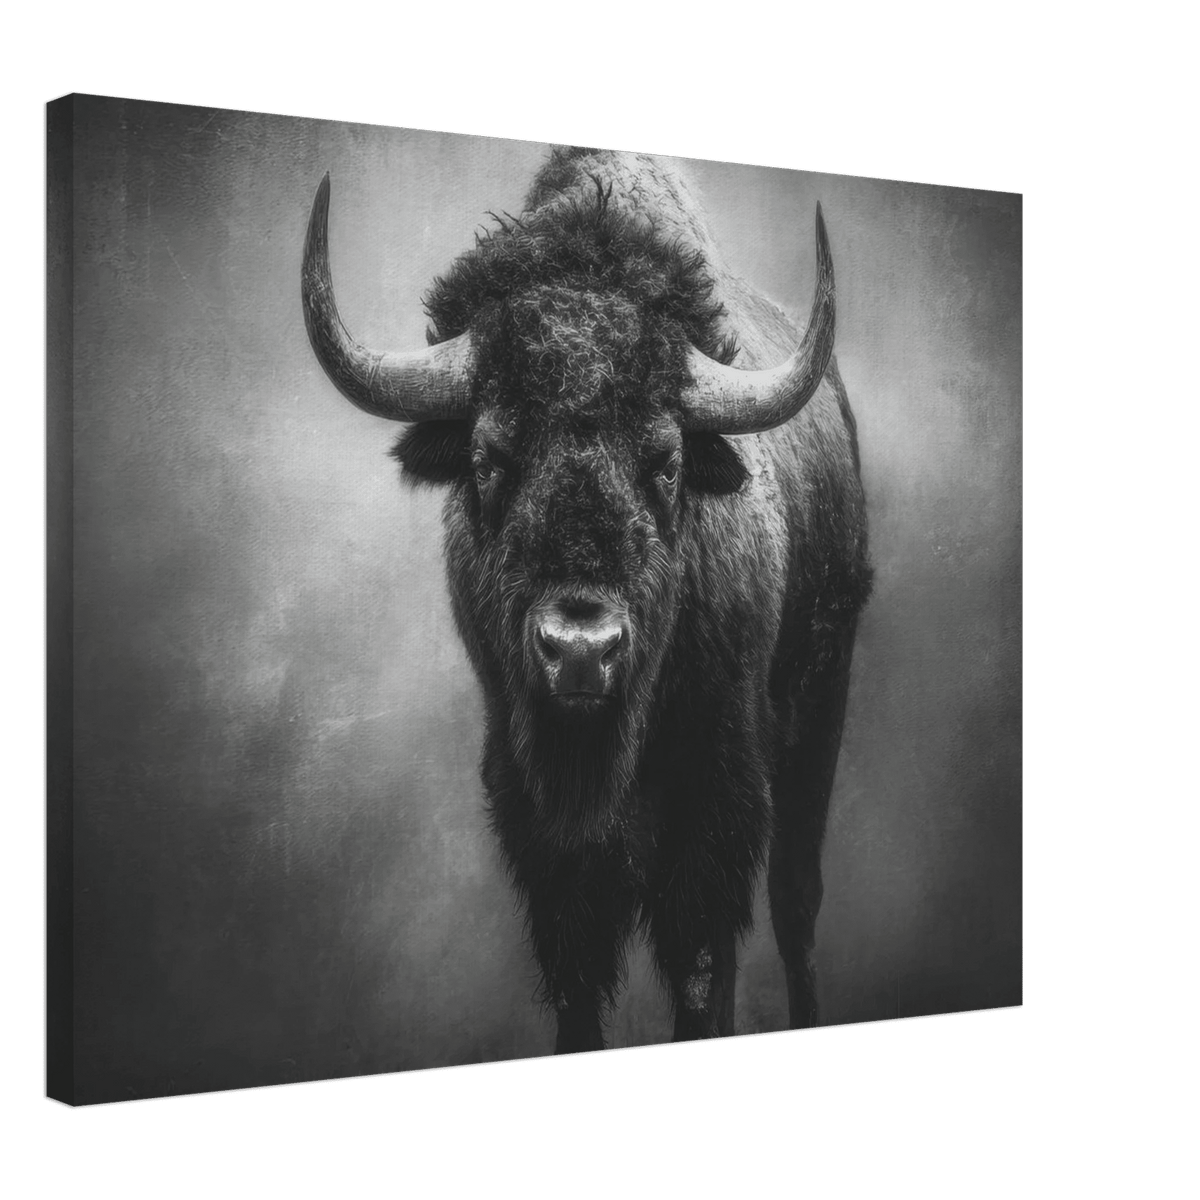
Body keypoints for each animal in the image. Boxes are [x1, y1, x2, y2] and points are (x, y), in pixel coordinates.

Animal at [302, 147, 872, 1054]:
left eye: (667, 461)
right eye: (488, 457)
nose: (579, 651)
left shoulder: (716, 797)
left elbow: (699, 963)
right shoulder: (537, 821)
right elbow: (578, 976)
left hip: (820, 706)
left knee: (795, 905)